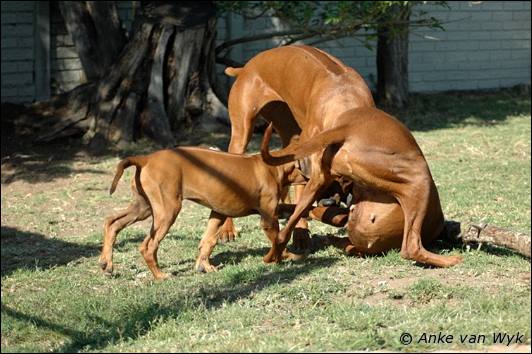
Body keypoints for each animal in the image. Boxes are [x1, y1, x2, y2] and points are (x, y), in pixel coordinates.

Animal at [98, 147, 304, 280]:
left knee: (112, 222)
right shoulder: (268, 217)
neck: (273, 166)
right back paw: (160, 275)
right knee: (147, 246)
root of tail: (146, 158)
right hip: (167, 212)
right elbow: (278, 239)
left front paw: (204, 266)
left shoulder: (218, 213)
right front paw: (285, 256)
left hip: (143, 208)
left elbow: (207, 241)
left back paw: (106, 263)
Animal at [218, 45, 376, 246]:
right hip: (242, 131)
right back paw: (227, 229)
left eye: (345, 181)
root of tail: (245, 67)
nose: (328, 203)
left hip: (287, 127)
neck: (345, 97)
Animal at [262, 108, 462, 268]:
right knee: (410, 248)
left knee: (284, 232)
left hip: (319, 180)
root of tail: (347, 128)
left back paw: (274, 255)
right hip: (419, 179)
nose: (328, 201)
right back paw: (451, 261)